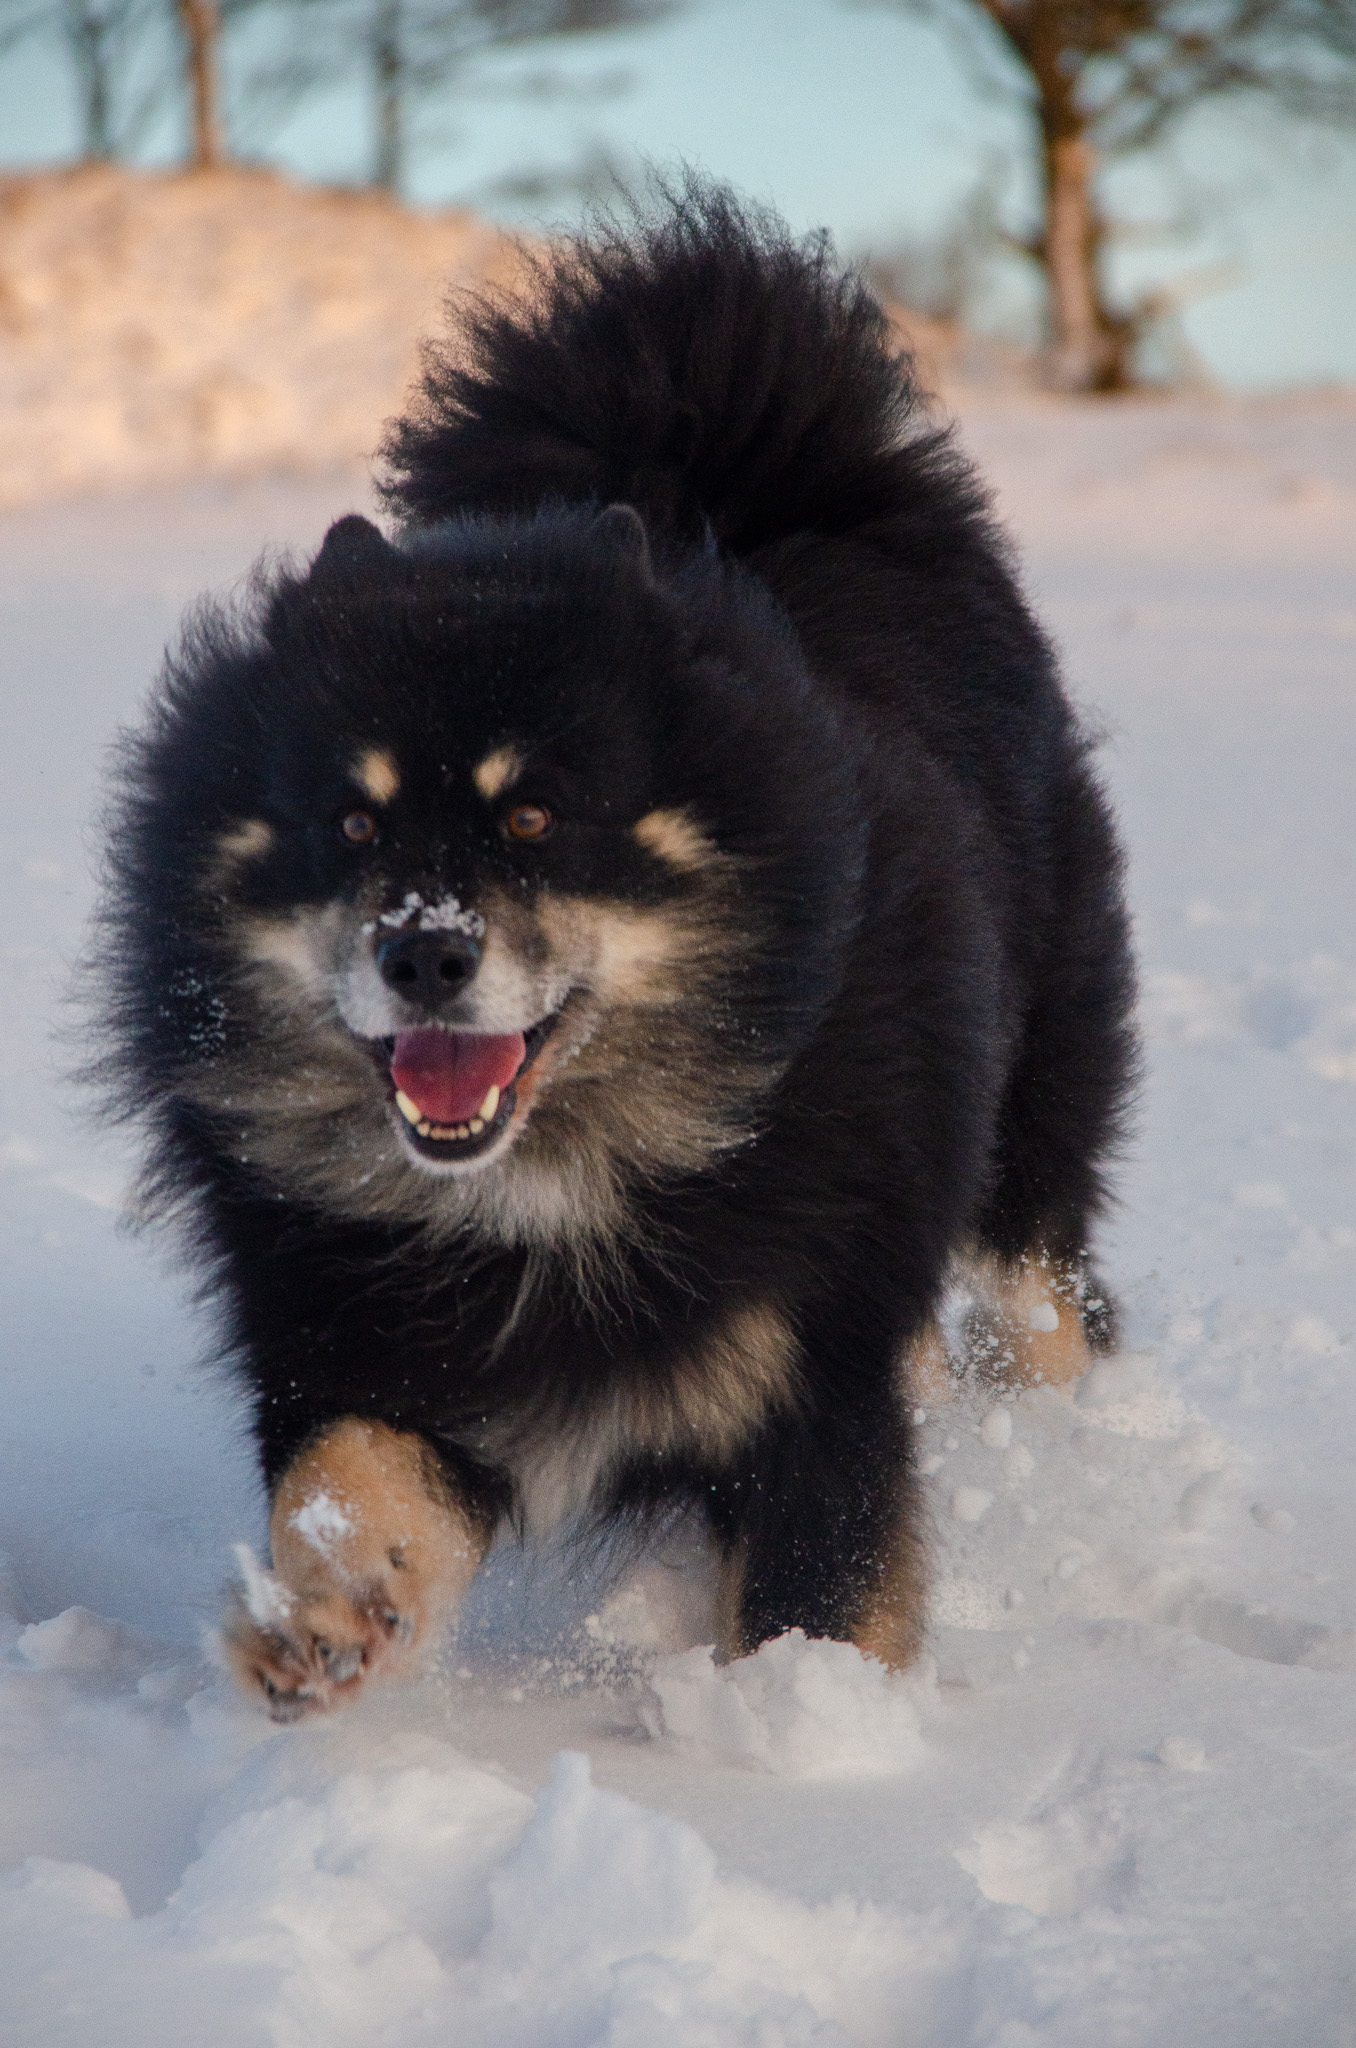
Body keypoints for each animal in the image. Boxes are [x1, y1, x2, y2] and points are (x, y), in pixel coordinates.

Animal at [94, 186, 1136, 1719]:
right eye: (352, 823)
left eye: (534, 815)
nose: (424, 954)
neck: (559, 1184)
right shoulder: (371, 1347)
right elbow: (348, 1484)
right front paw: (326, 1618)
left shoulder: (804, 1375)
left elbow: (819, 1601)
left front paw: (788, 1746)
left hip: (1030, 1135)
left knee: (1045, 1301)